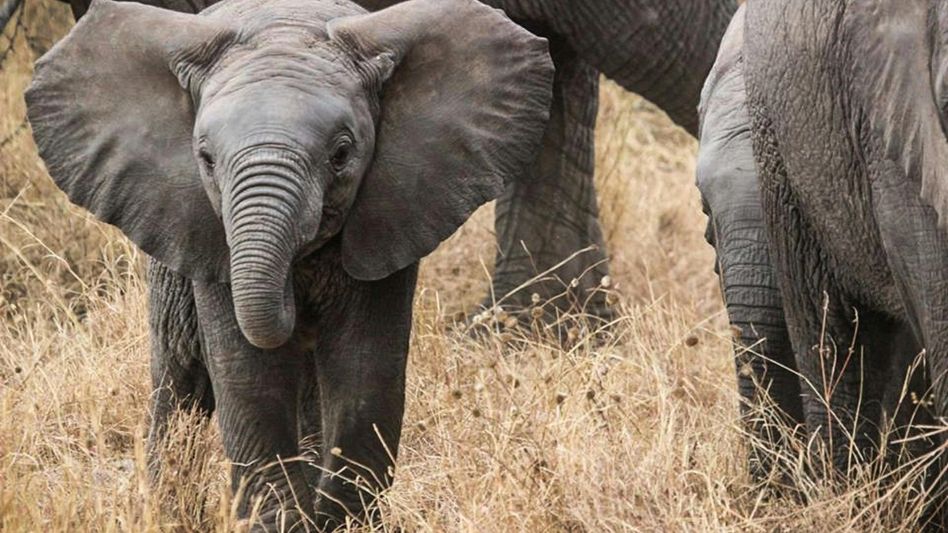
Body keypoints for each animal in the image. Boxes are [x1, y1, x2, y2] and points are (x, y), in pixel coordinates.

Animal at [25, 0, 553, 528]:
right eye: (206, 159)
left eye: (341, 154)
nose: (293, 299)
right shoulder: (207, 237)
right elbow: (248, 375)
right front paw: (282, 522)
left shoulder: (393, 213)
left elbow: (366, 369)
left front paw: (342, 524)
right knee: (180, 376)